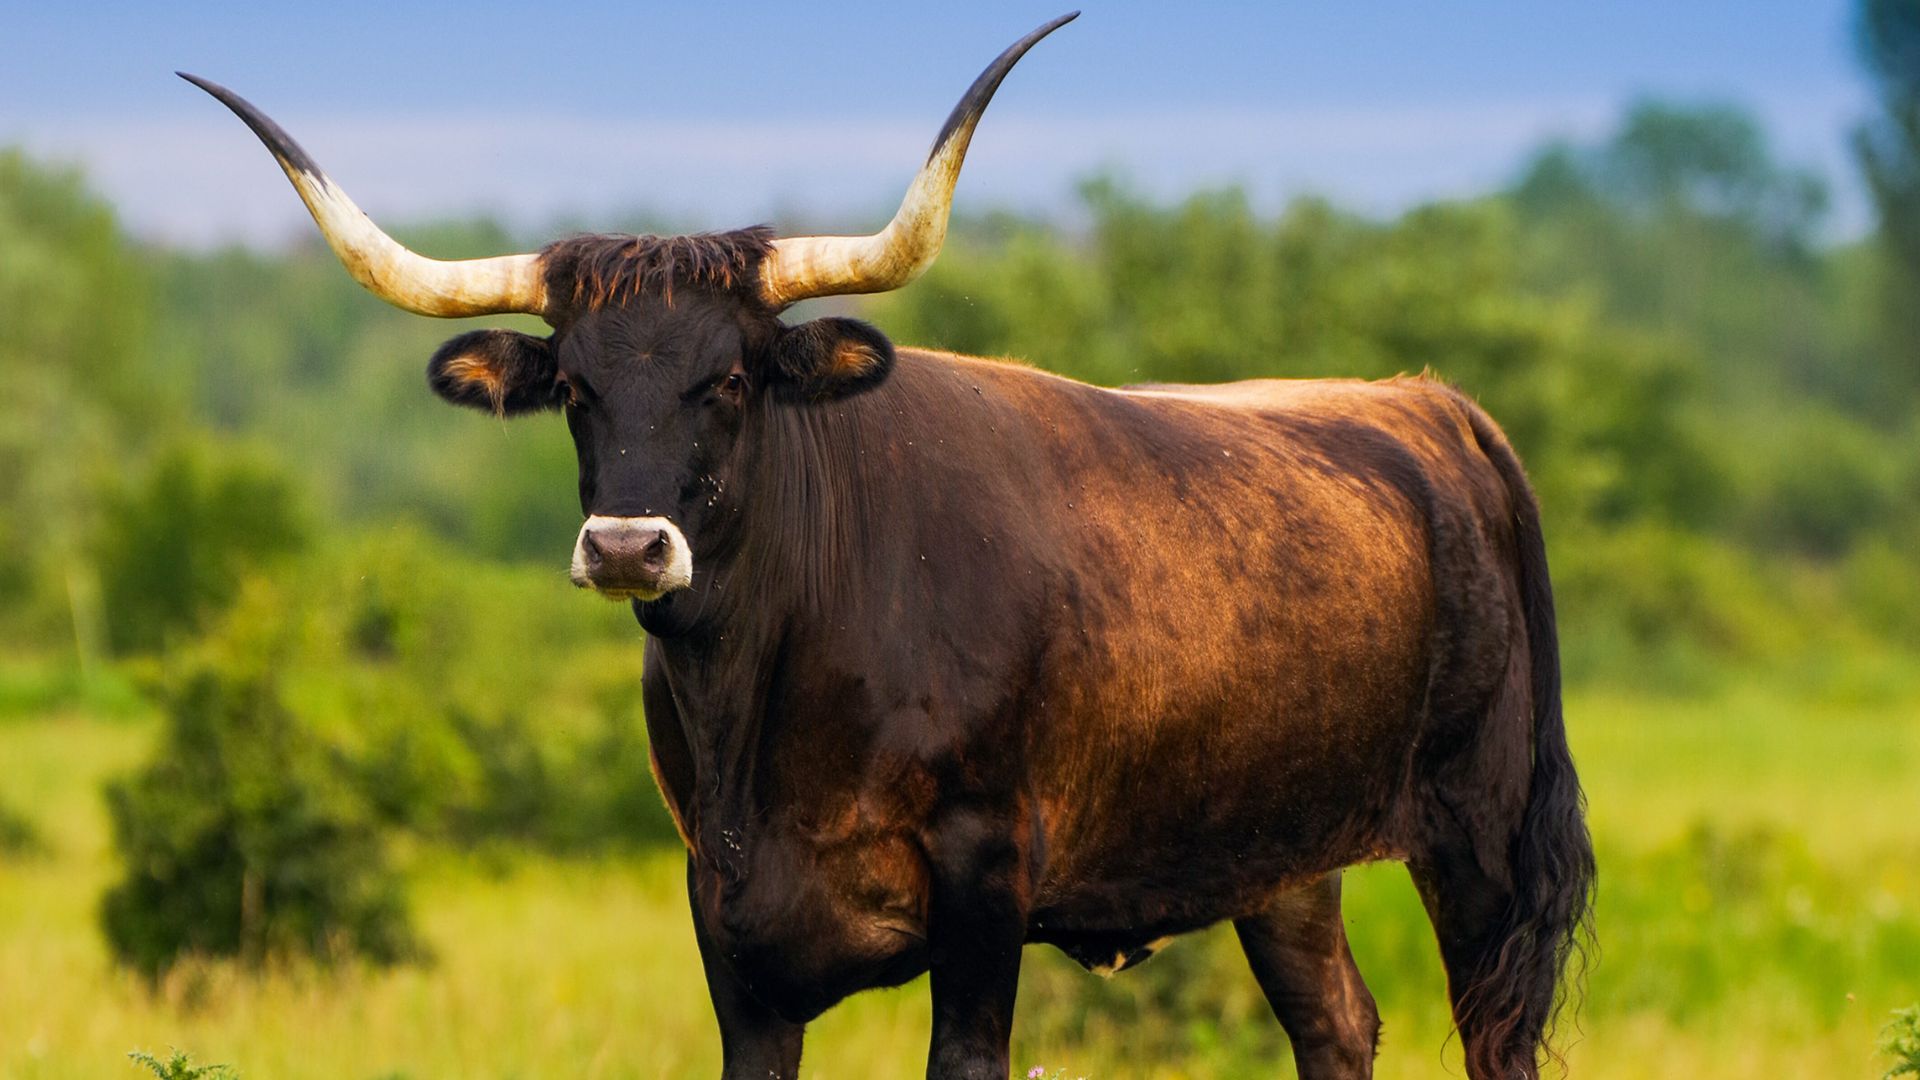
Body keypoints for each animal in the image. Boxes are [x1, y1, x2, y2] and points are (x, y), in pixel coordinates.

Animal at [184, 13, 1594, 1079]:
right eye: (576, 388)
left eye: (731, 380)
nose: (632, 548)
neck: (765, 708)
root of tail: (1426, 404)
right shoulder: (727, 927)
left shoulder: (984, 889)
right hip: (1285, 858)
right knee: (1337, 1024)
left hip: (1481, 839)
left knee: (1494, 1036)